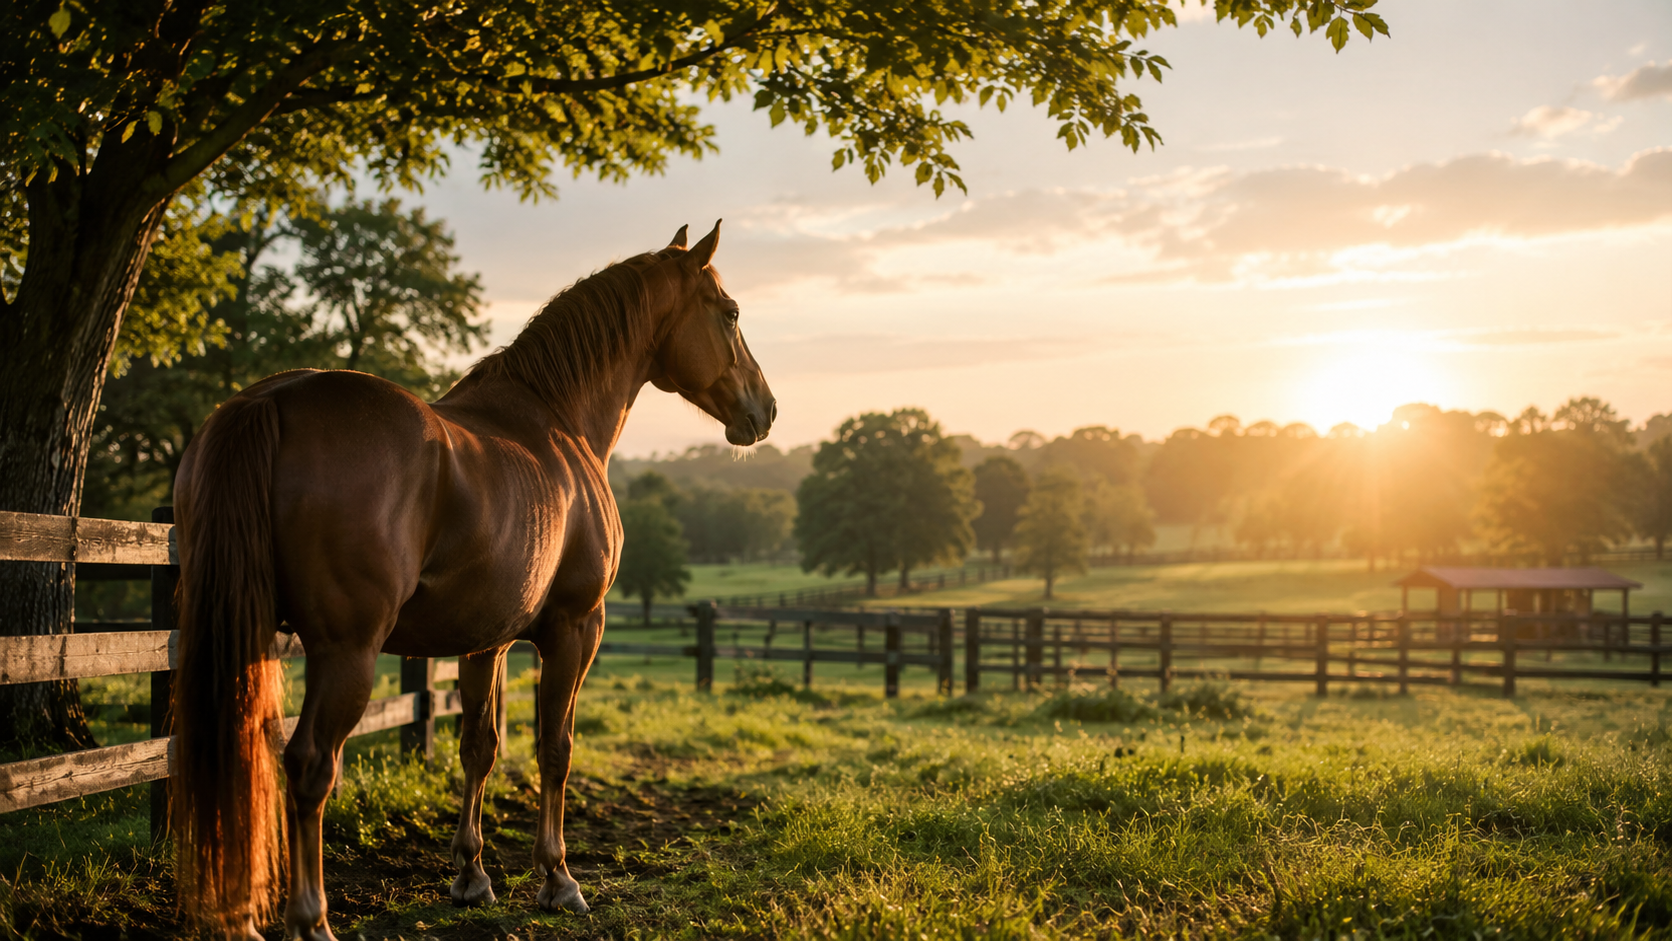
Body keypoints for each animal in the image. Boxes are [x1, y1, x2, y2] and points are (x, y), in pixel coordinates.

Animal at [166, 222, 772, 940]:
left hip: (249, 639)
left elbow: (477, 746)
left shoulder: (486, 641)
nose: (765, 410)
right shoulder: (575, 629)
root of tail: (270, 401)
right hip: (345, 651)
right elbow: (555, 747)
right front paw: (558, 879)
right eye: (730, 313)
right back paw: (311, 919)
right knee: (310, 764)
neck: (558, 420)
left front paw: (470, 874)